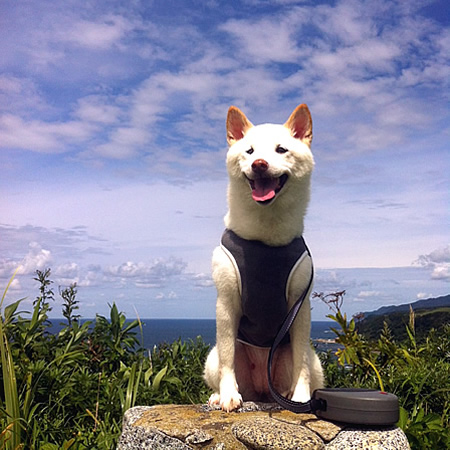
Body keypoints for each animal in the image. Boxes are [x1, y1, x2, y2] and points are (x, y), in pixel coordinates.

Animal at [204, 103, 324, 412]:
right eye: (249, 151)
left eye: (281, 149)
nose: (259, 163)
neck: (265, 239)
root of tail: (261, 390)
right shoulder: (226, 301)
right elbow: (227, 358)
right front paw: (228, 395)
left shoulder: (300, 306)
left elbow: (300, 364)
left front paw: (301, 397)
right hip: (212, 359)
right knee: (223, 363)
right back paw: (218, 395)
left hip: (312, 360)